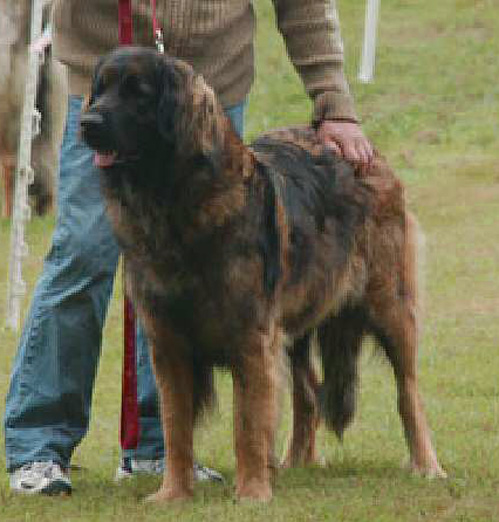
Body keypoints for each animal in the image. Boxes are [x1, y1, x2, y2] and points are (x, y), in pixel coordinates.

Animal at [81, 46, 446, 502]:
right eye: (100, 89)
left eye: (138, 93)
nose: (87, 123)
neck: (172, 206)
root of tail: (366, 154)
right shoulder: (168, 341)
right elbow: (175, 427)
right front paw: (173, 494)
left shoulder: (251, 337)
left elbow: (249, 424)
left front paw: (253, 492)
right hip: (298, 321)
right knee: (308, 392)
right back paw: (295, 461)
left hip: (390, 306)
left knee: (407, 392)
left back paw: (426, 465)